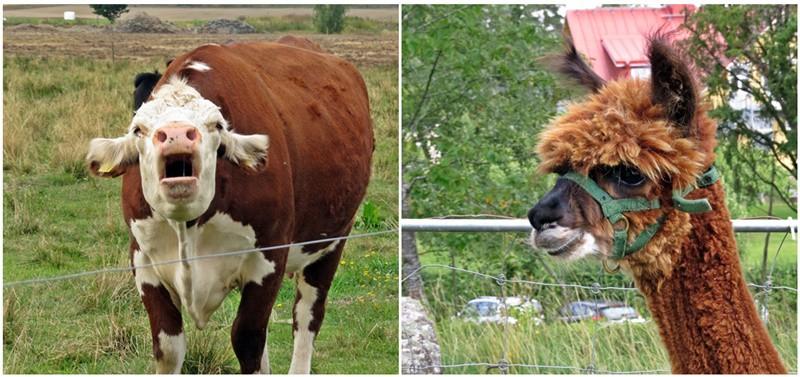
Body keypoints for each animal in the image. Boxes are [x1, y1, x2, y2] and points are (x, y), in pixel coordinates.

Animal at [86, 39, 374, 374]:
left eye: (217, 125)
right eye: (138, 129)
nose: (176, 133)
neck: (187, 228)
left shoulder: (269, 259)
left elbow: (247, 338)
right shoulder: (143, 261)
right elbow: (168, 348)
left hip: (331, 242)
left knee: (306, 317)